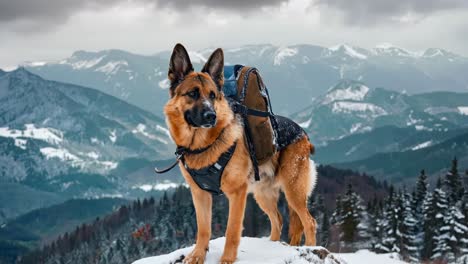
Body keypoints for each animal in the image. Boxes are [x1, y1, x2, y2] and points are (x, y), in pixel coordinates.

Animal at [165, 44, 318, 262]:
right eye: (192, 94)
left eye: (213, 95)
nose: (211, 116)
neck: (204, 145)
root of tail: (302, 132)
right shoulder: (200, 194)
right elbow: (203, 229)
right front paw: (197, 256)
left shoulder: (237, 193)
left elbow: (232, 230)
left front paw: (227, 259)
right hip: (263, 194)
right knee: (278, 220)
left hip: (293, 190)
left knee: (309, 221)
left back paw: (311, 247)